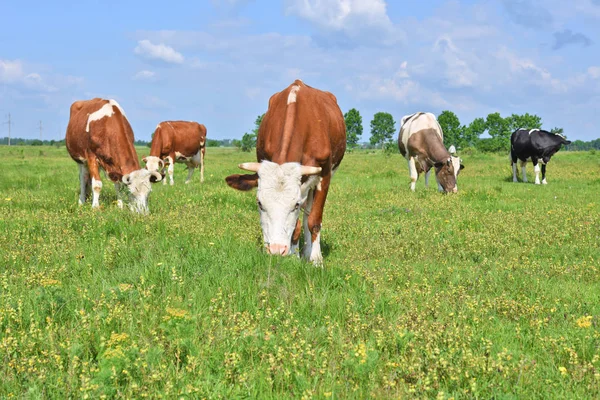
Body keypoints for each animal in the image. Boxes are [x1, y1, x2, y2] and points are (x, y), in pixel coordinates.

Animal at [225, 79, 346, 266]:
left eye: (294, 205)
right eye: (260, 203)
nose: (276, 249)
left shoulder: (324, 176)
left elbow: (314, 220)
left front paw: (316, 259)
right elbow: (296, 224)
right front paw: (293, 256)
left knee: (308, 215)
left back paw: (309, 252)